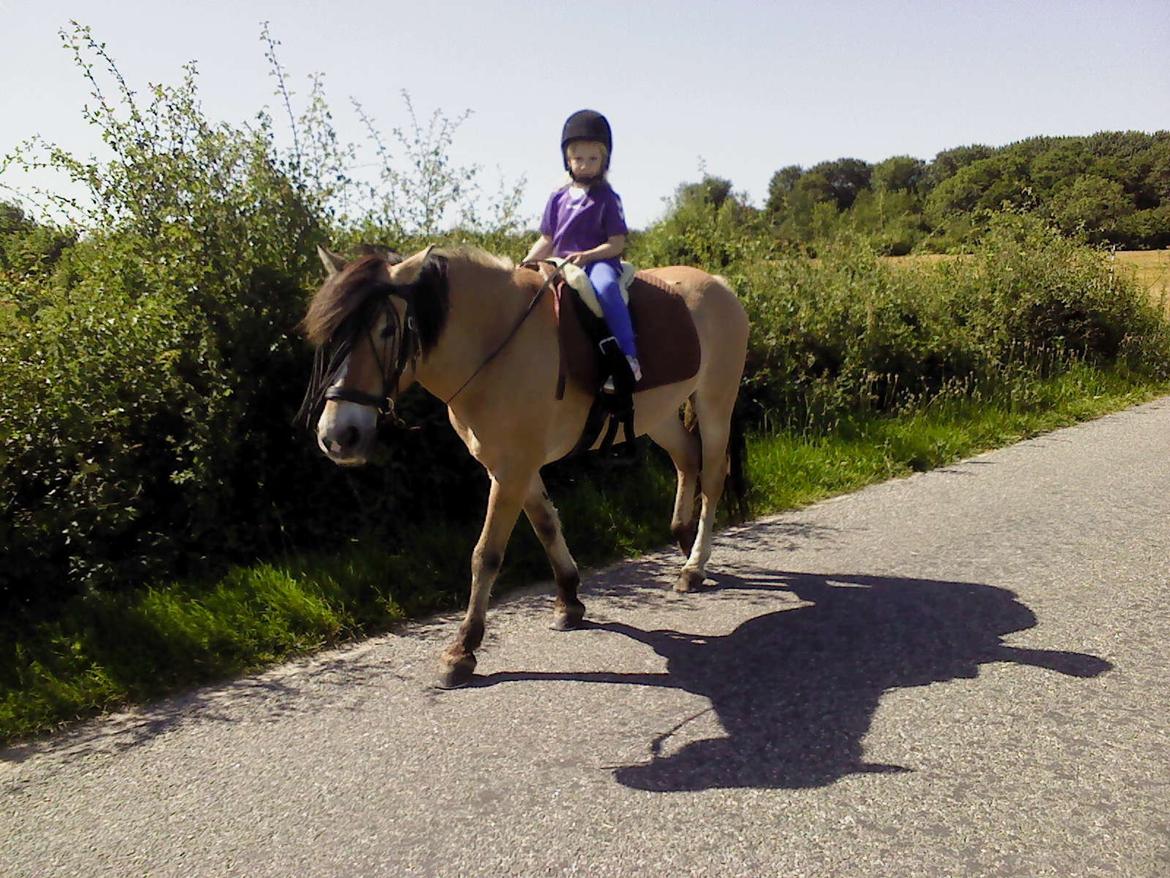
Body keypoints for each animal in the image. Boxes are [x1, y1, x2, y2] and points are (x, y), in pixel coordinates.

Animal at [297, 244, 744, 693]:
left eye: (387, 330)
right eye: (332, 335)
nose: (338, 436)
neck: (493, 346)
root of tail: (718, 283)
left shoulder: (512, 468)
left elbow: (486, 555)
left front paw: (462, 649)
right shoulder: (512, 465)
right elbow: (546, 525)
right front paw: (569, 601)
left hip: (715, 401)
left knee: (712, 477)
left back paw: (694, 565)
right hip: (660, 414)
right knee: (687, 459)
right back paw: (684, 541)